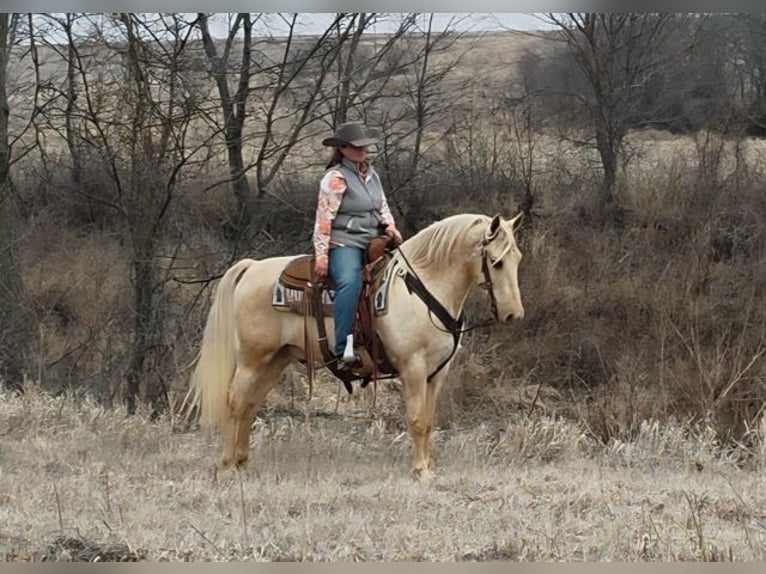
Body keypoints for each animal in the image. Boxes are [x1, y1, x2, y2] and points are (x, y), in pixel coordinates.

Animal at [191, 214, 524, 480]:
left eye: (517, 258)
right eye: (496, 262)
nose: (513, 314)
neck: (422, 289)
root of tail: (251, 267)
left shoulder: (436, 373)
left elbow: (429, 422)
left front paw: (427, 467)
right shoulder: (413, 368)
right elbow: (417, 420)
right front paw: (420, 471)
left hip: (275, 361)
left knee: (249, 405)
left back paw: (242, 462)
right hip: (252, 359)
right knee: (235, 401)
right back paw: (226, 465)